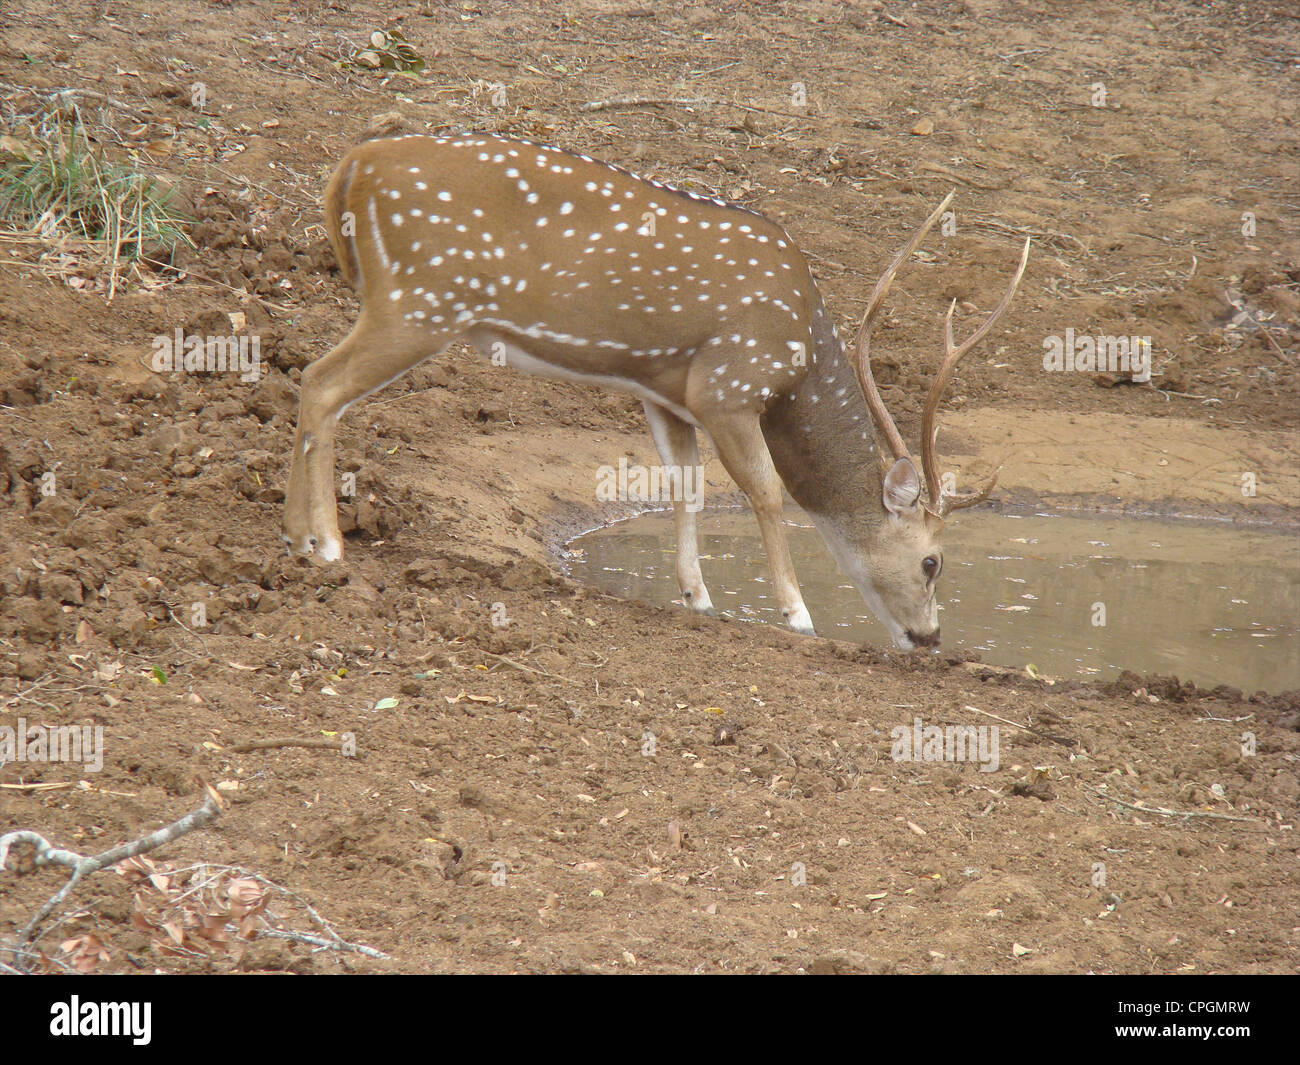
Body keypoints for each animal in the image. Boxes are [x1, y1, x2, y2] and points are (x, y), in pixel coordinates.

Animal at [284, 133, 1024, 650]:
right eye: (932, 562)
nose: (929, 637)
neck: (800, 358)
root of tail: (352, 166)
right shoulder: (730, 383)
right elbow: (765, 490)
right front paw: (797, 613)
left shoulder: (668, 392)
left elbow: (685, 483)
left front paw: (697, 596)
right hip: (420, 301)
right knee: (319, 382)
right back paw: (327, 544)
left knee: (312, 385)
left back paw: (297, 538)